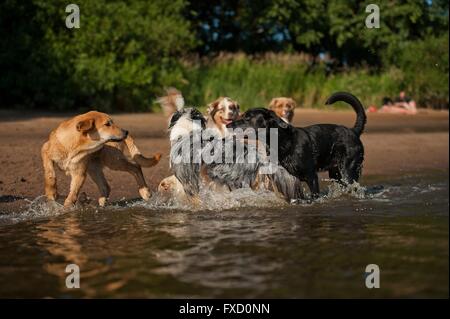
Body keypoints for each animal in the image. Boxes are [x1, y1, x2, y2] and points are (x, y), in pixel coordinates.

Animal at [227, 91, 368, 198]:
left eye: (247, 118)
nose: (228, 125)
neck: (282, 140)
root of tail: (353, 131)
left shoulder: (311, 176)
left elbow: (314, 195)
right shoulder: (288, 177)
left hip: (348, 170)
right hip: (336, 173)